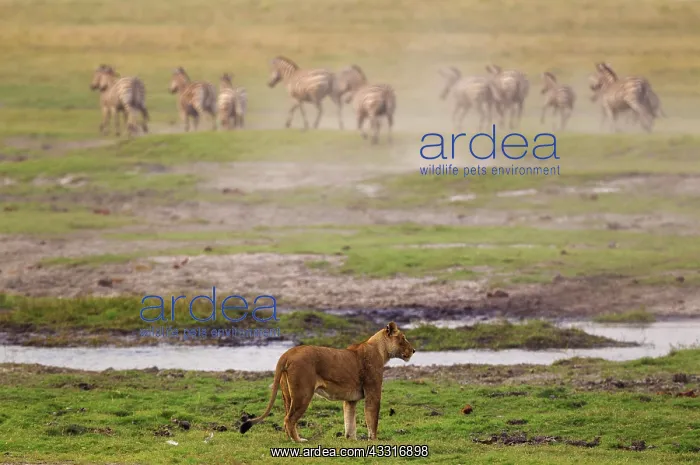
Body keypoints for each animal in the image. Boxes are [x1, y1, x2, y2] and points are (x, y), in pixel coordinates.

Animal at [239, 322, 415, 443]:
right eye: (403, 338)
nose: (413, 350)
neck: (381, 350)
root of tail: (288, 352)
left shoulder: (350, 400)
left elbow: (349, 421)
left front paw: (351, 439)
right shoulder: (373, 392)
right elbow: (372, 419)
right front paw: (374, 441)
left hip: (287, 395)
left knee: (286, 417)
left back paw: (290, 439)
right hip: (303, 394)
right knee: (289, 419)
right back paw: (299, 441)